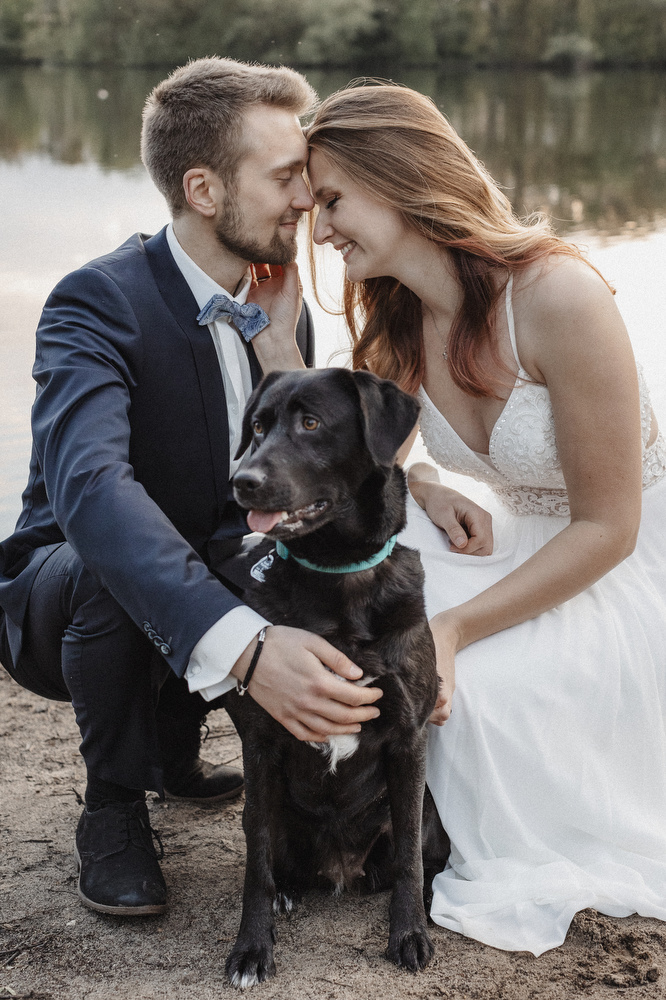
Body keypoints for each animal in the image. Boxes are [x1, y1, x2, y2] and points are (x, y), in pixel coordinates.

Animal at [226, 366, 448, 984]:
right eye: (257, 426)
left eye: (311, 423)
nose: (241, 481)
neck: (336, 578)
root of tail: (341, 870)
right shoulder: (261, 741)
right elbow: (256, 864)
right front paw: (251, 948)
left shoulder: (408, 737)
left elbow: (408, 860)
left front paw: (409, 936)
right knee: (275, 860)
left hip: (427, 812)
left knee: (418, 861)